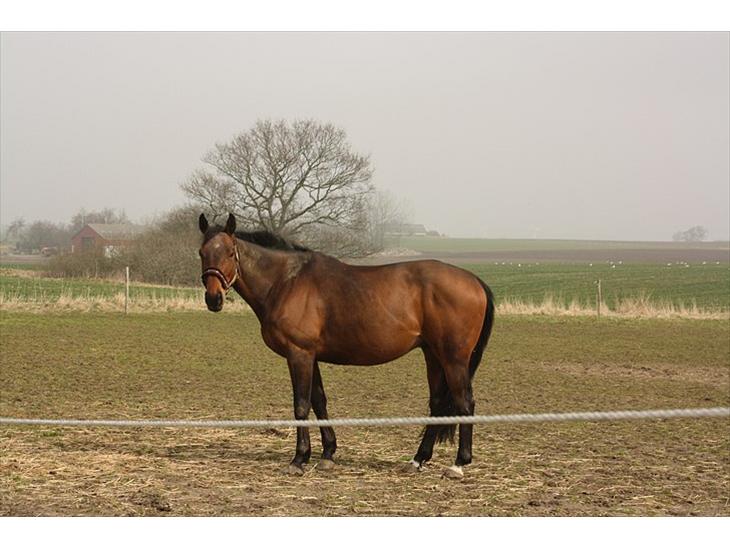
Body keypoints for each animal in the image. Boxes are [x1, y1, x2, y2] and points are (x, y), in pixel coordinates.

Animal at [198, 213, 495, 479]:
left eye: (229, 252)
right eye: (202, 253)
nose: (213, 299)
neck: (286, 281)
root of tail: (474, 281)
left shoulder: (299, 354)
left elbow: (301, 405)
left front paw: (299, 459)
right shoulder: (311, 356)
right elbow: (319, 401)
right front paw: (327, 454)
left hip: (453, 358)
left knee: (464, 402)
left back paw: (458, 464)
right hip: (432, 354)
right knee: (437, 404)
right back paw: (417, 460)